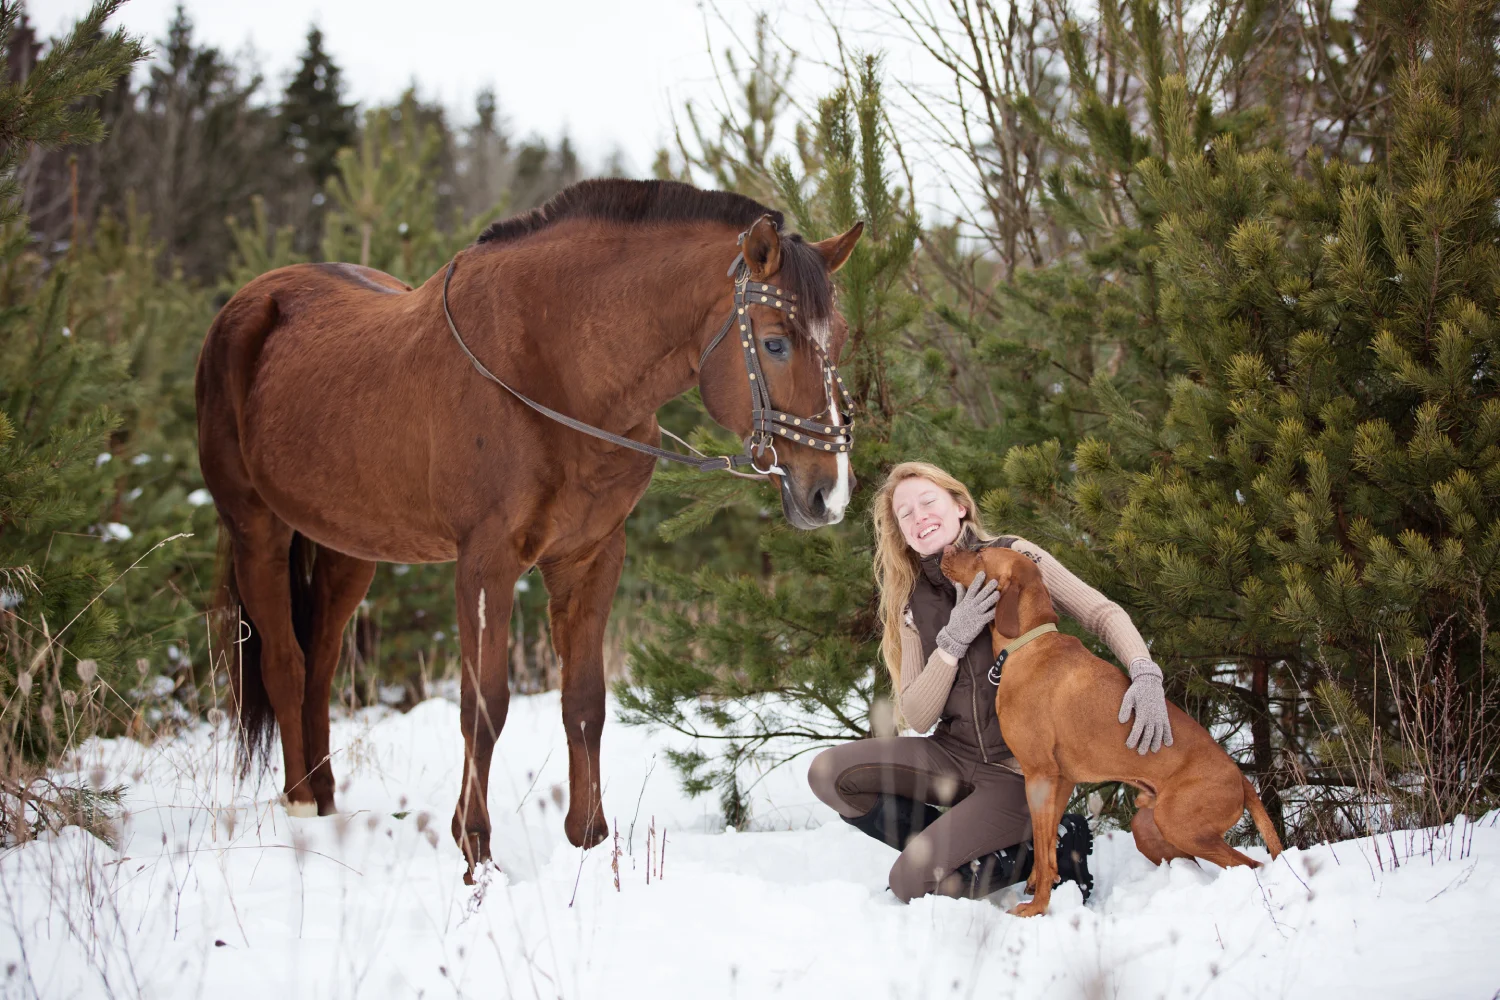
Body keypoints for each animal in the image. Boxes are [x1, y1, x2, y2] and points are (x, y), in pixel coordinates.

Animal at [193, 182, 864, 881]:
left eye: (840, 338)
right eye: (776, 343)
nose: (830, 492)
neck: (556, 372)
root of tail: (249, 305)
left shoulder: (591, 557)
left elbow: (585, 701)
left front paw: (589, 839)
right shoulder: (485, 565)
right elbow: (483, 706)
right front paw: (475, 851)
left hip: (347, 546)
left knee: (321, 660)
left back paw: (324, 803)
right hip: (257, 528)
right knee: (286, 662)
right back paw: (300, 809)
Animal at [942, 542, 1284, 917]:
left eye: (979, 554)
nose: (947, 549)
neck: (1027, 644)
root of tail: (1240, 778)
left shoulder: (1039, 775)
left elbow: (1043, 849)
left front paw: (1037, 907)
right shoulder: (1062, 779)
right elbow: (1048, 843)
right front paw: (1041, 884)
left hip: (1179, 823)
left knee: (1252, 865)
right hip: (1150, 825)